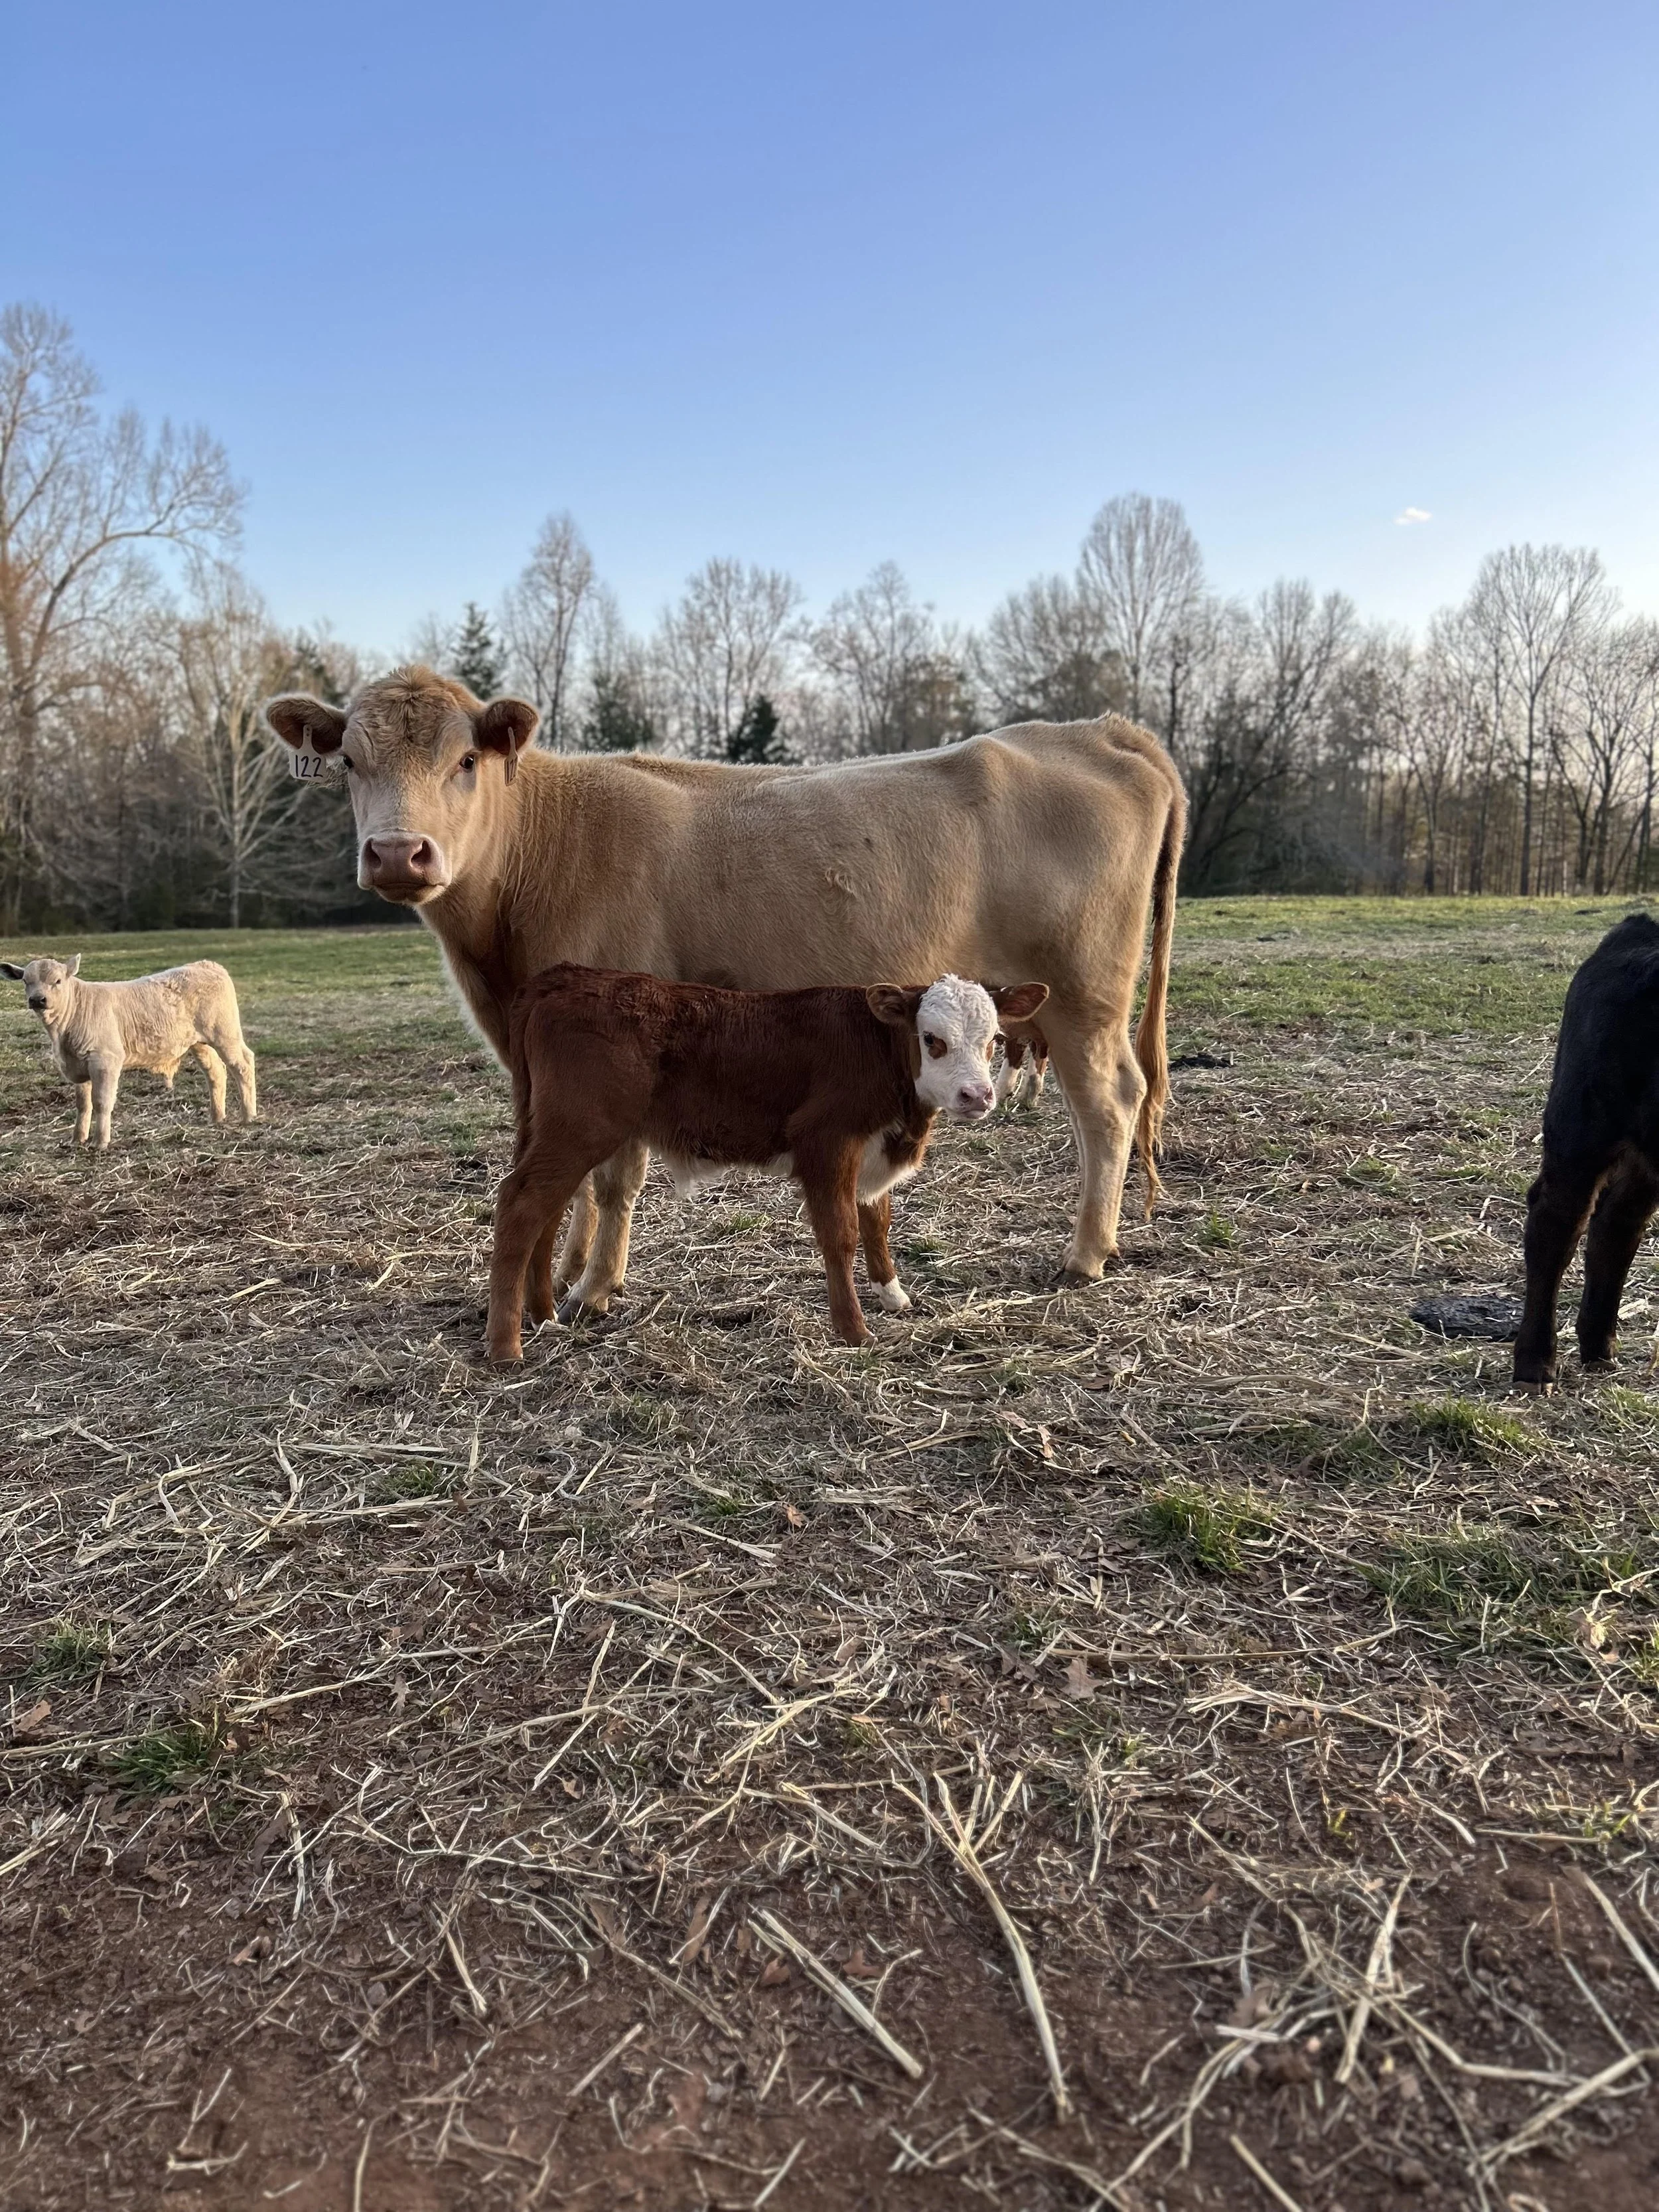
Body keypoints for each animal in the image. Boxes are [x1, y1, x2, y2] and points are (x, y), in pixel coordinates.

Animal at [1, 955, 257, 1148]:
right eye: (26, 981)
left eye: (57, 981)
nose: (38, 1000)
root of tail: (206, 964)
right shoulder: (78, 1066)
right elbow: (83, 1104)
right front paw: (77, 1140)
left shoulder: (105, 1060)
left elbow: (102, 1102)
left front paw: (100, 1143)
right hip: (199, 1042)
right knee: (216, 1072)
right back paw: (217, 1118)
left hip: (225, 1033)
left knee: (243, 1064)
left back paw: (248, 1116)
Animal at [263, 665, 1185, 1319]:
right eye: (350, 763)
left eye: (464, 762)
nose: (397, 853)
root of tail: (1098, 731)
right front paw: (566, 1272)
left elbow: (614, 1176)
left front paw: (594, 1289)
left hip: (1083, 995)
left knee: (1109, 1104)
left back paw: (1084, 1254)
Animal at [487, 965, 1048, 1360]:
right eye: (933, 1039)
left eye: (994, 1039)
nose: (977, 1095)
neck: (877, 1050)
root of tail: (564, 977)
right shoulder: (827, 1144)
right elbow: (842, 1234)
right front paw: (854, 1329)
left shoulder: (871, 1152)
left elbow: (878, 1223)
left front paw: (893, 1295)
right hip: (579, 1131)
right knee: (520, 1205)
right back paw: (505, 1347)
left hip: (558, 1132)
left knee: (546, 1211)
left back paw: (542, 1314)